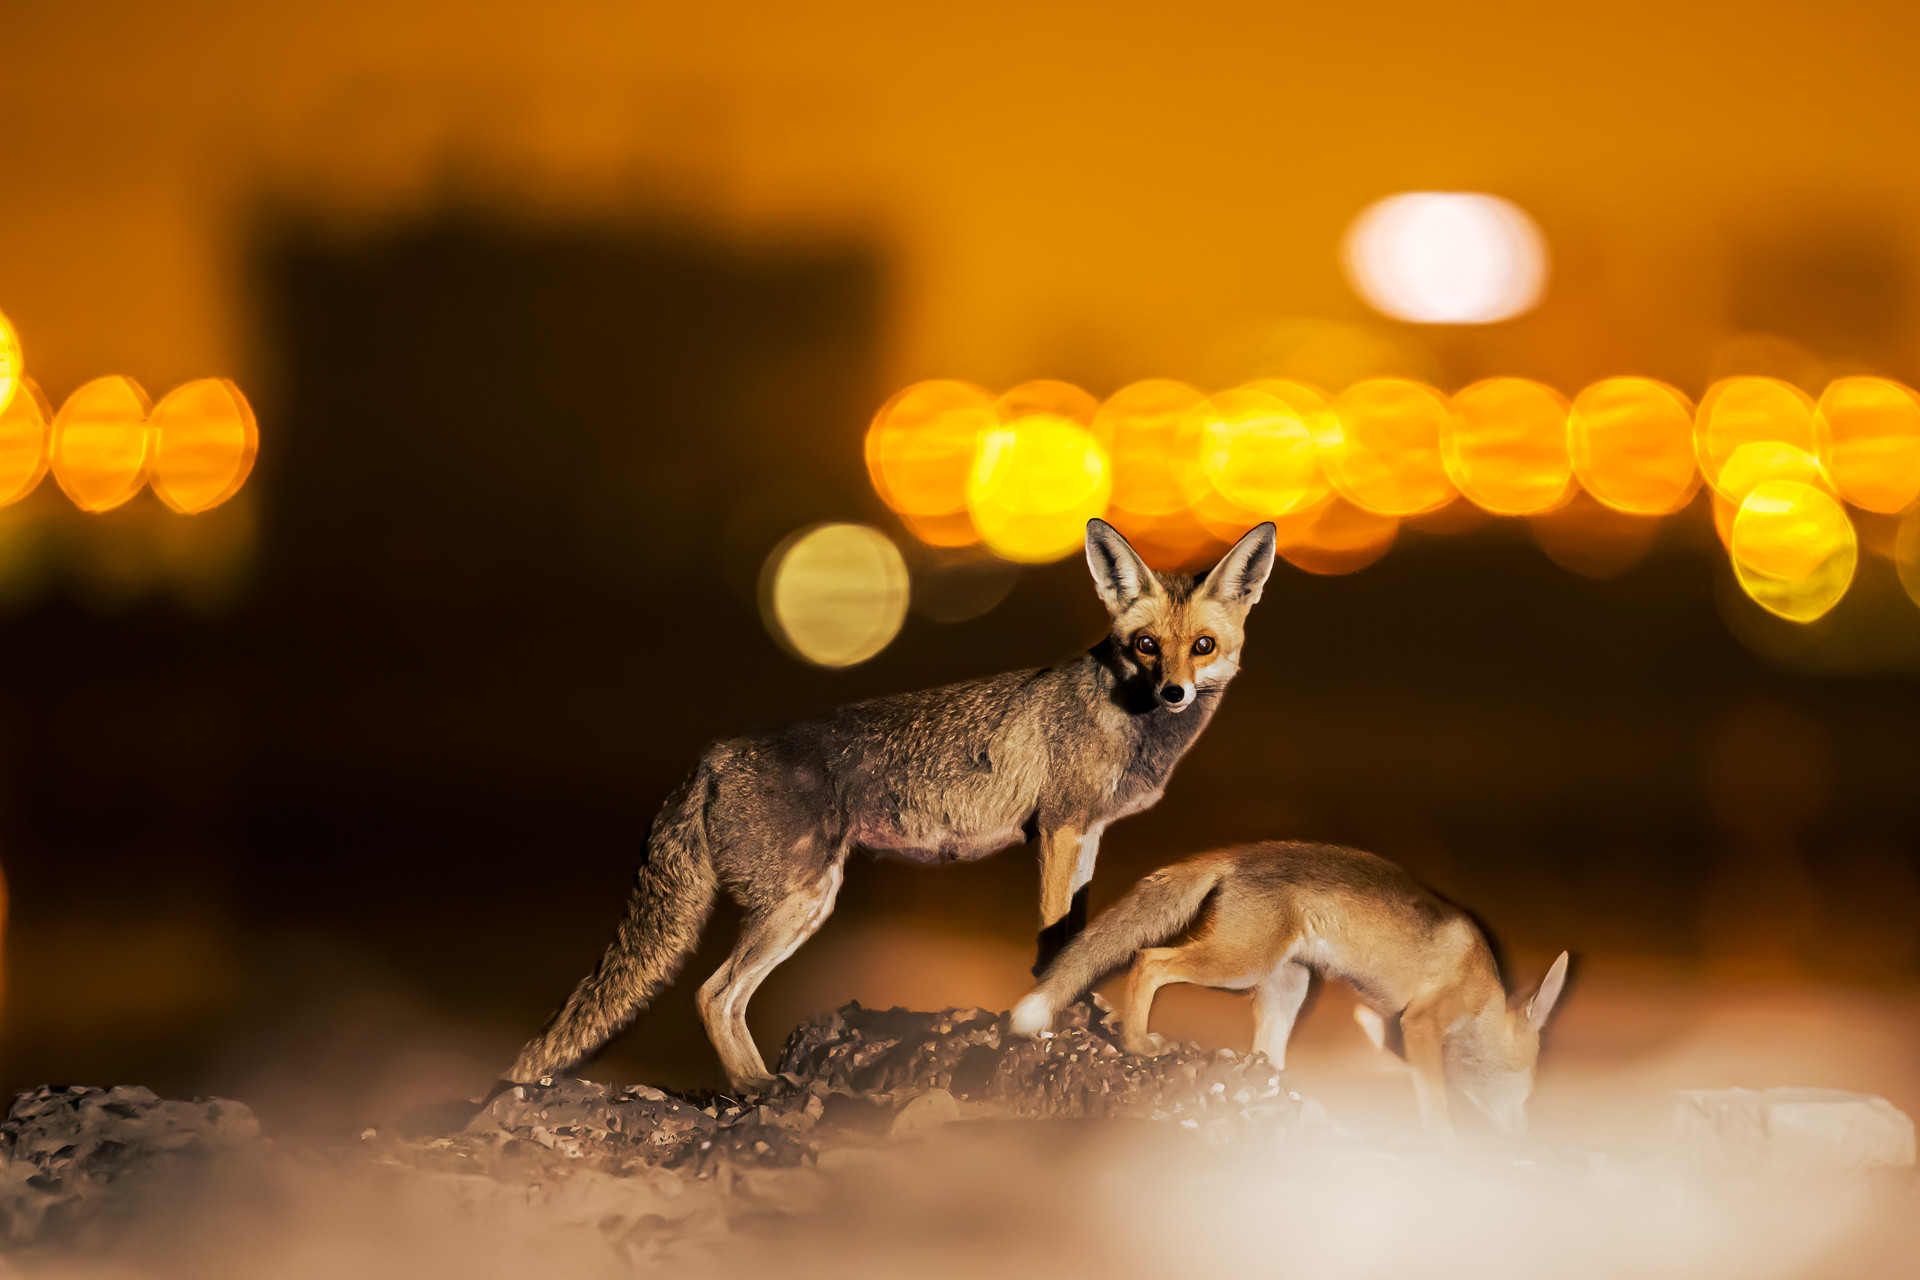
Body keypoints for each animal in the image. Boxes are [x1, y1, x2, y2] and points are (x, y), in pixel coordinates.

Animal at [499, 518, 1278, 1093]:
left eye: (1201, 646)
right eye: (1146, 645)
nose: (1175, 692)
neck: (1125, 714)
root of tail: (710, 755)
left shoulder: (1084, 834)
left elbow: (1077, 932)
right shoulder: (1058, 829)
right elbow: (1056, 938)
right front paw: (1056, 1016)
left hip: (804, 905)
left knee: (721, 996)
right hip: (801, 900)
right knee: (711, 994)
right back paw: (758, 1089)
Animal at [1010, 841, 1571, 1137]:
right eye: (1527, 1092)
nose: (1522, 1137)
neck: (1483, 993)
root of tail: (1237, 854)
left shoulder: (1391, 1024)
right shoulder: (1421, 1022)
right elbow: (1435, 1102)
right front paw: (1447, 1144)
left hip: (1286, 985)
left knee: (1268, 1055)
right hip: (1238, 966)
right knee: (1150, 962)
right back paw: (1136, 1043)